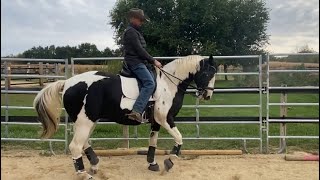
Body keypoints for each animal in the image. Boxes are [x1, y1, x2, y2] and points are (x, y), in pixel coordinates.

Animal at [33, 54, 218, 179]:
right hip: (85, 122)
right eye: (207, 74)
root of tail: (67, 83)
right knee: (75, 146)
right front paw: (169, 162)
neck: (168, 85)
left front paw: (152, 163)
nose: (208, 95)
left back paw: (94, 164)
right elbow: (179, 139)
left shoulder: (156, 122)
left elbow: (153, 142)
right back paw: (83, 174)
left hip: (87, 121)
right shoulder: (165, 119)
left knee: (83, 143)